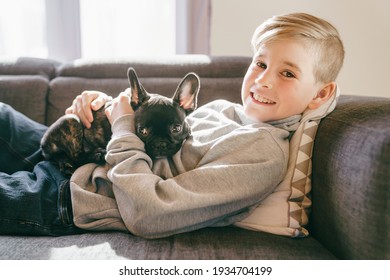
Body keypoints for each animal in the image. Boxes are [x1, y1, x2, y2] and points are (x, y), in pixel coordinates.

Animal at [40, 67, 200, 175]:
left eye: (176, 129)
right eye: (142, 130)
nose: (160, 144)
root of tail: (44, 144)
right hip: (71, 120)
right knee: (75, 156)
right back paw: (95, 155)